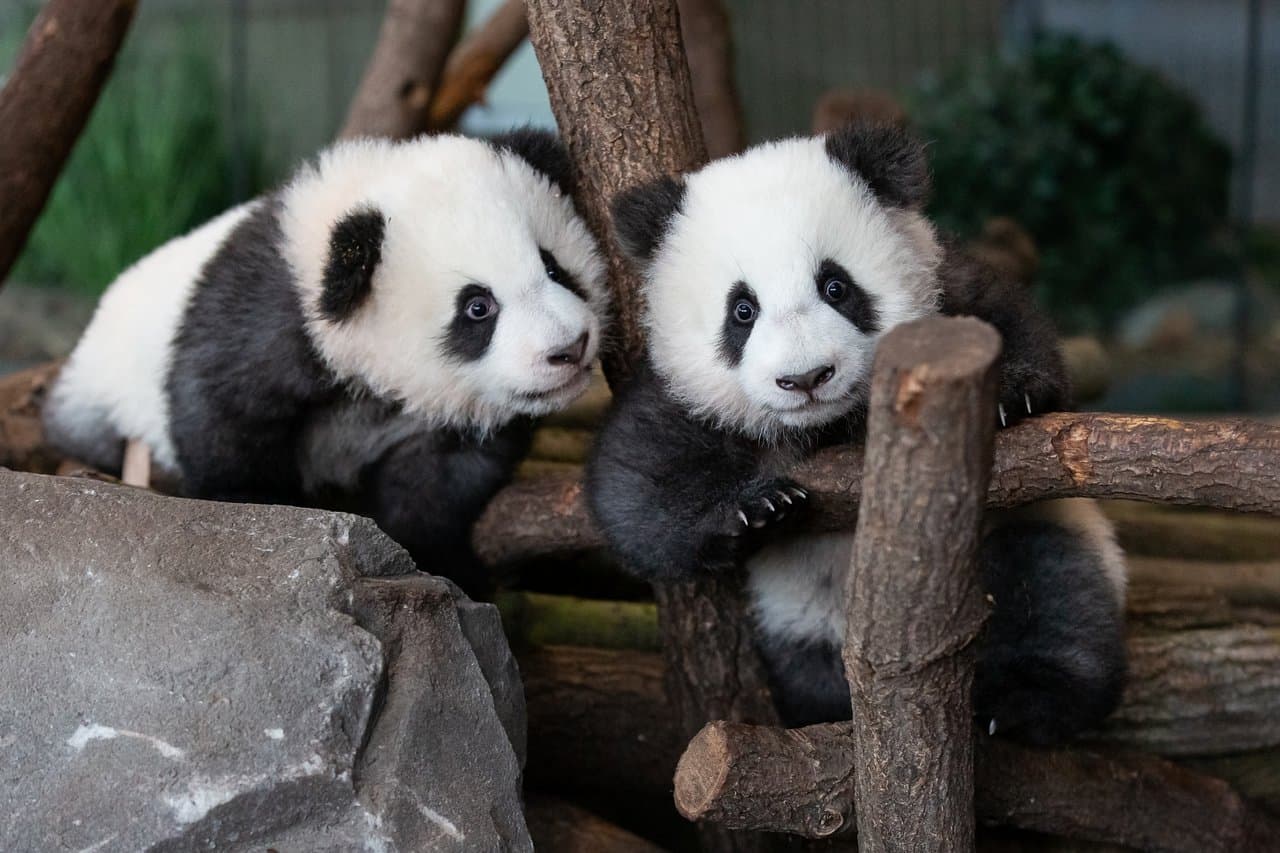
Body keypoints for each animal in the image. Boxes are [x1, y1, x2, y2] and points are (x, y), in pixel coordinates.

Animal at [45, 129, 609, 595]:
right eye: (477, 307)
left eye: (554, 267)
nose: (570, 347)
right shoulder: (265, 317)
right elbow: (220, 411)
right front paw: (257, 514)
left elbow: (440, 481)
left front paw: (441, 564)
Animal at [585, 122, 1127, 744]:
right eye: (742, 310)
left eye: (836, 287)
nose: (806, 378)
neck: (830, 425)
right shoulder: (679, 393)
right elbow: (634, 488)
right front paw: (756, 510)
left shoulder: (946, 292)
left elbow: (1007, 323)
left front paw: (1013, 393)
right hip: (800, 612)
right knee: (807, 663)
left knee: (1052, 587)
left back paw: (1022, 703)